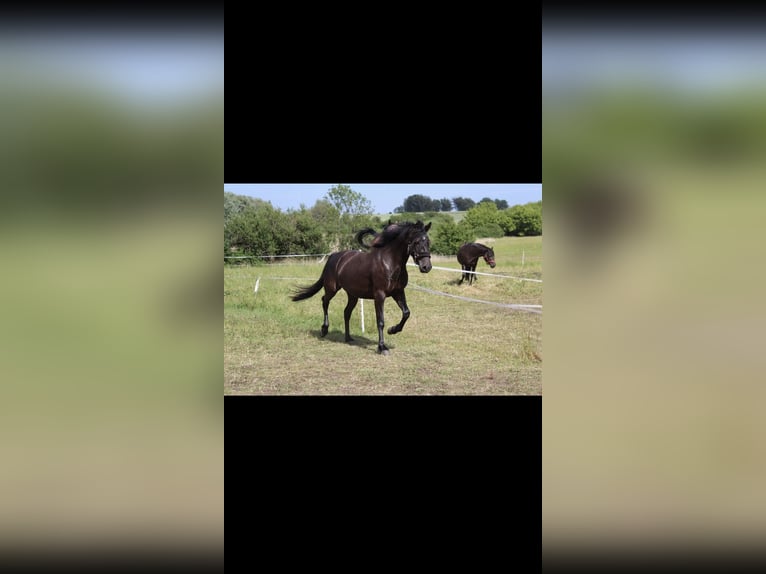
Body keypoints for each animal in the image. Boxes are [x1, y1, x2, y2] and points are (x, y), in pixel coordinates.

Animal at [292, 220, 432, 356]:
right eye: (416, 242)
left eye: (428, 241)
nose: (426, 267)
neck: (390, 263)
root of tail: (333, 257)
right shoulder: (380, 295)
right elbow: (380, 321)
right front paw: (382, 347)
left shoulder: (398, 292)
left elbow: (406, 313)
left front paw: (392, 330)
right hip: (331, 288)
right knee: (325, 301)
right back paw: (324, 329)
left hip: (353, 295)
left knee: (346, 312)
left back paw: (348, 338)